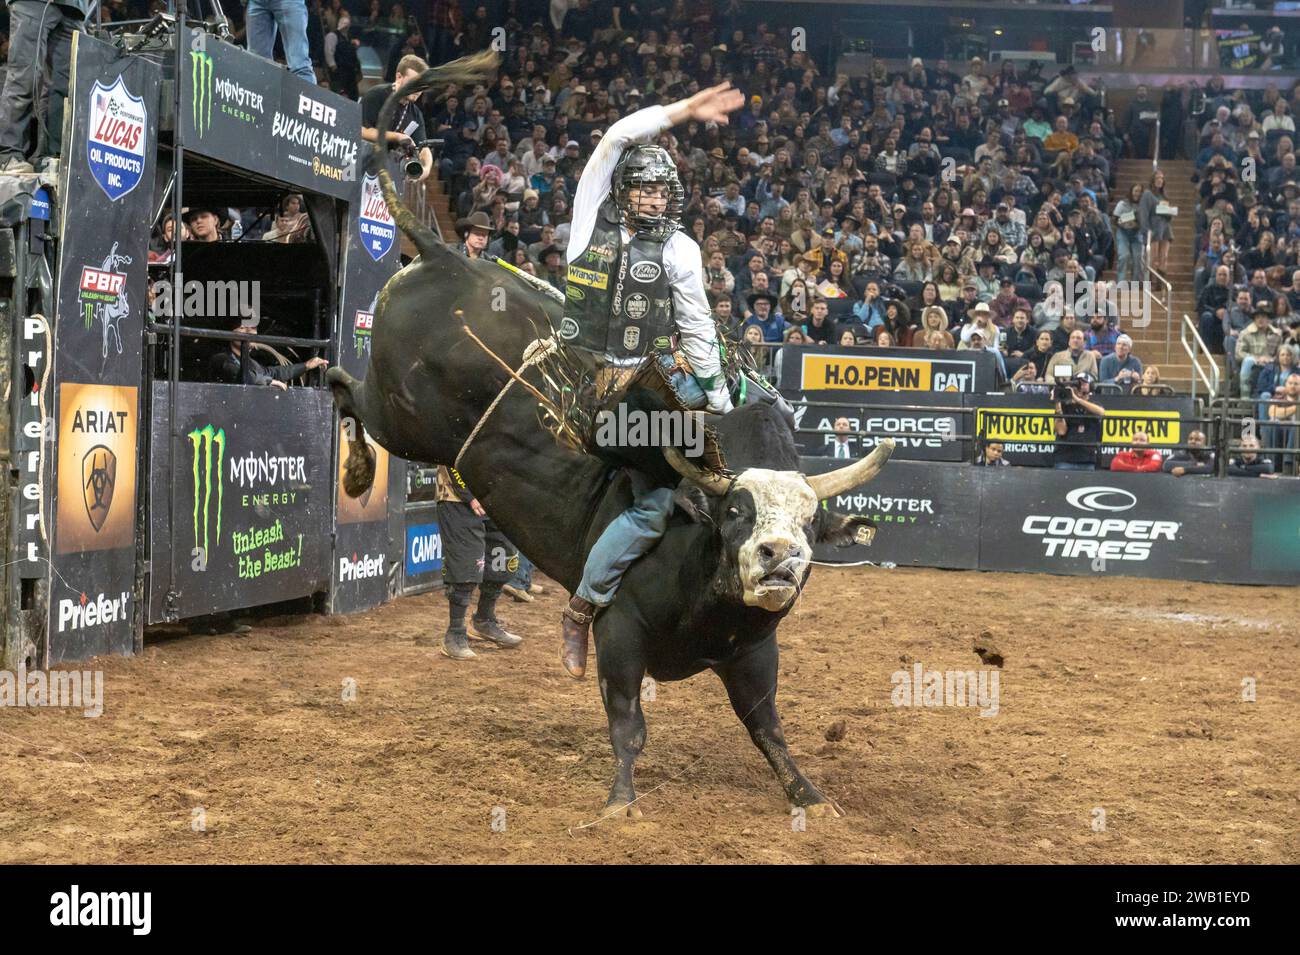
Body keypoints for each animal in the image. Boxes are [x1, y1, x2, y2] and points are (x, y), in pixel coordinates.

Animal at [325, 52, 894, 815]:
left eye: (811, 520)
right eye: (738, 513)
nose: (780, 556)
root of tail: (445, 255)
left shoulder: (753, 655)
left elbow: (768, 727)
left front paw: (808, 793)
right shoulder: (620, 632)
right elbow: (628, 720)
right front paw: (622, 796)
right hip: (402, 415)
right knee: (344, 390)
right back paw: (354, 464)